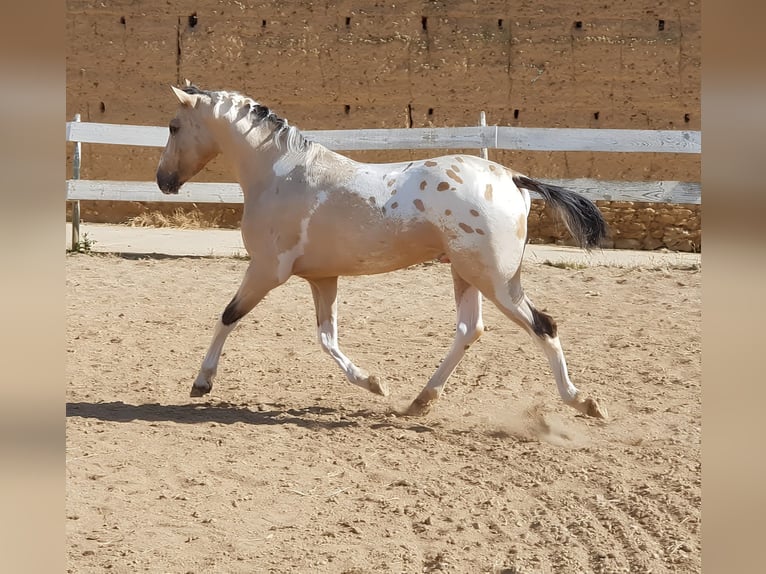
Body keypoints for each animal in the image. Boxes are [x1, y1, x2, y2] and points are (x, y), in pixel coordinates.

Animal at [156, 84, 608, 419]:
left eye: (174, 126)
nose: (163, 180)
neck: (279, 174)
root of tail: (513, 177)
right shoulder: (322, 278)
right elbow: (327, 338)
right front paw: (374, 384)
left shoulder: (267, 270)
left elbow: (228, 316)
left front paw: (202, 382)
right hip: (467, 273)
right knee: (470, 329)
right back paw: (419, 401)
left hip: (495, 279)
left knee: (543, 326)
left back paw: (584, 403)